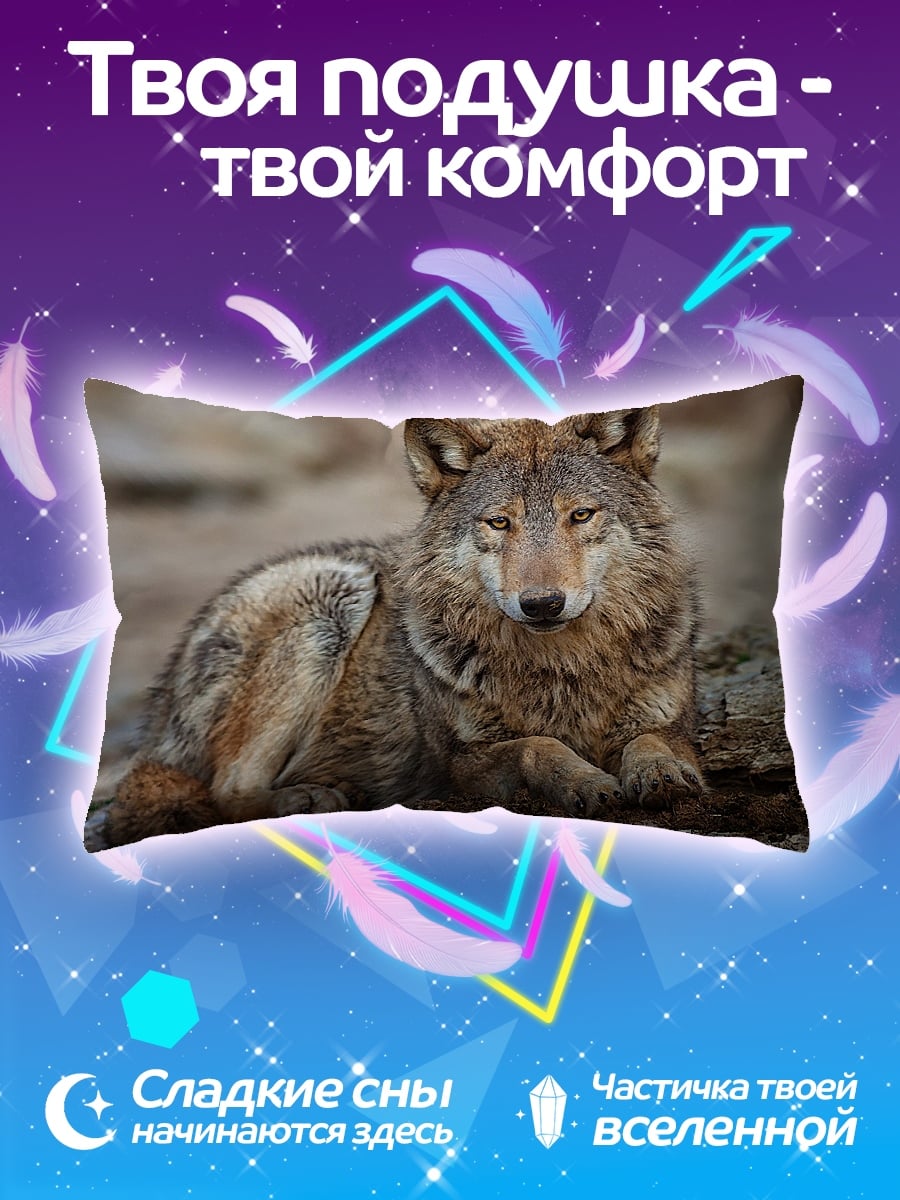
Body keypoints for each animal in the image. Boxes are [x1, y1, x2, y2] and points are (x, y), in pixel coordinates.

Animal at [99, 406, 704, 848]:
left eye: (580, 515)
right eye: (498, 522)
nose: (541, 604)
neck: (563, 668)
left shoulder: (672, 723)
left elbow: (652, 741)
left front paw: (662, 777)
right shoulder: (460, 765)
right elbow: (540, 747)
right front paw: (587, 782)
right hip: (333, 594)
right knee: (228, 790)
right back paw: (311, 798)